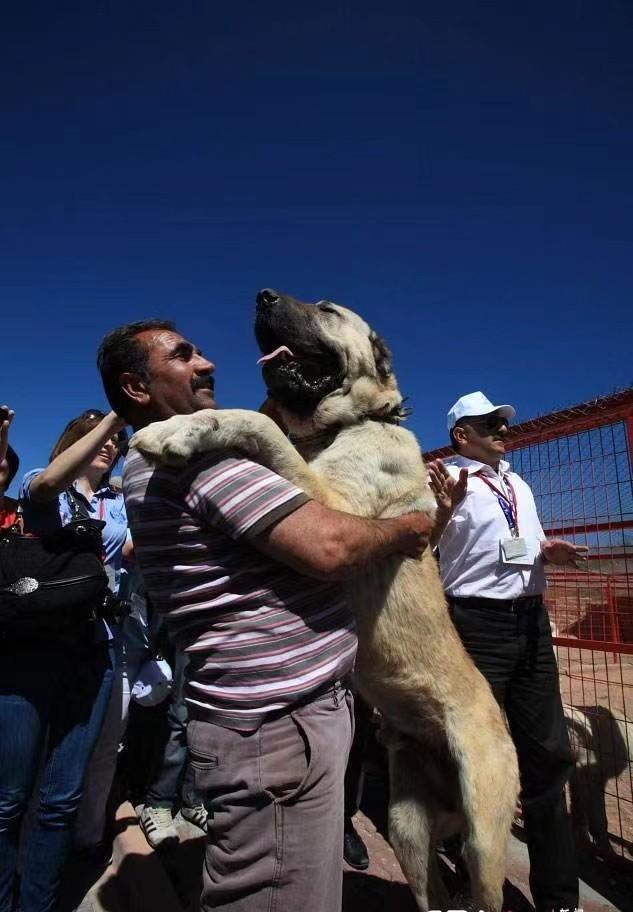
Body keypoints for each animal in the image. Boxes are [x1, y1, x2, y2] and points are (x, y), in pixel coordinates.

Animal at [132, 288, 520, 908]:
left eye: (328, 309)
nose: (263, 295)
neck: (340, 425)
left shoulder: (331, 509)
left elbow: (254, 423)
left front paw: (183, 428)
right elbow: (263, 423)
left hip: (484, 834)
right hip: (408, 828)